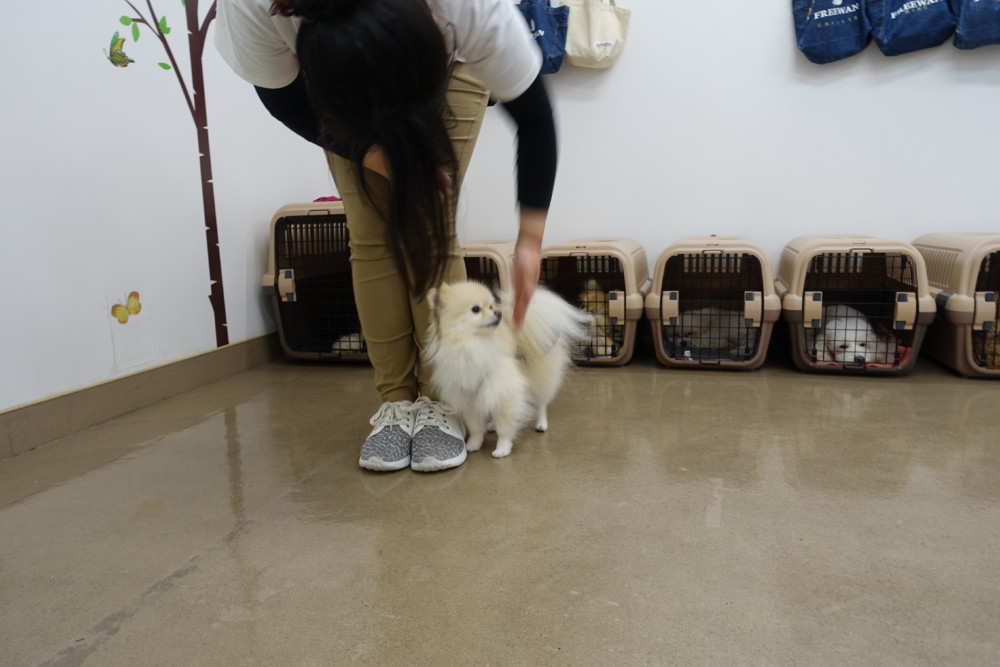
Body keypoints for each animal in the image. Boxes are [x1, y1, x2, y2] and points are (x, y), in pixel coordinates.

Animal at [425, 281, 589, 458]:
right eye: (476, 309)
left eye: (491, 306)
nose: (498, 313)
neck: (473, 344)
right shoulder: (468, 397)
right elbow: (475, 427)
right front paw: (474, 444)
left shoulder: (504, 391)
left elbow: (504, 427)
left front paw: (502, 448)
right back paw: (491, 424)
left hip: (538, 378)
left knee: (541, 403)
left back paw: (541, 423)